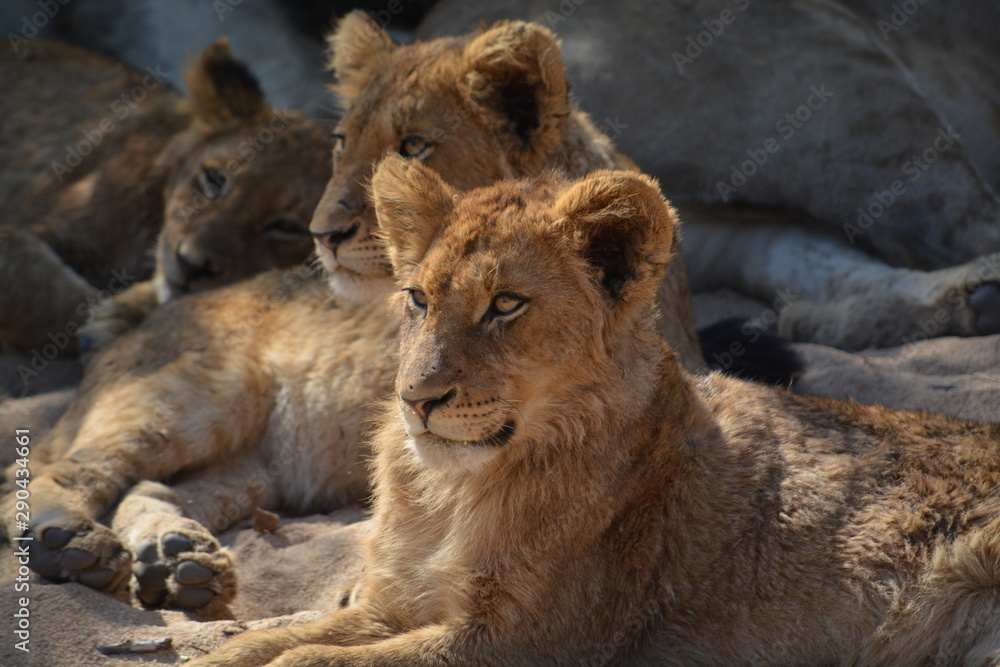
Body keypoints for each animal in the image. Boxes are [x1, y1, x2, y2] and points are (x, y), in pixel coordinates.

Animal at [189, 155, 1000, 667]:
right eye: (417, 298)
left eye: (505, 305)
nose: (416, 400)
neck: (451, 492)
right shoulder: (393, 604)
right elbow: (259, 643)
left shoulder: (526, 640)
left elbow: (310, 658)